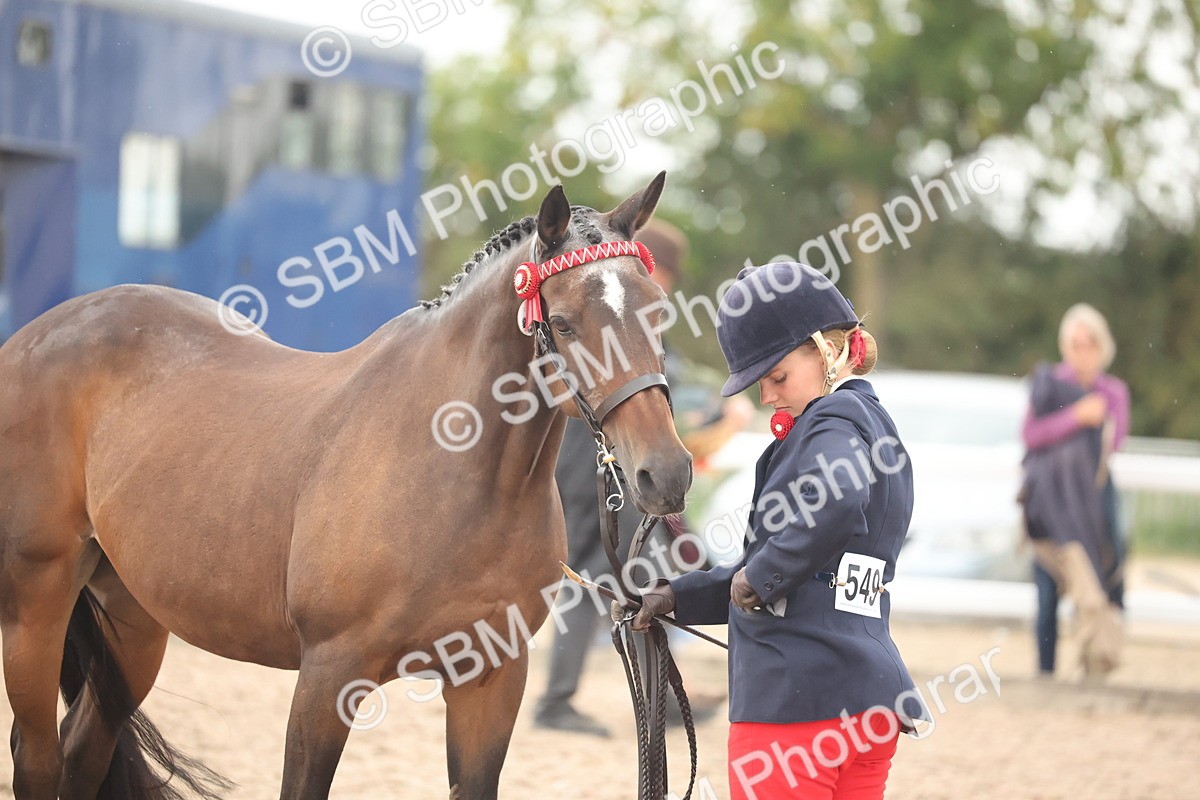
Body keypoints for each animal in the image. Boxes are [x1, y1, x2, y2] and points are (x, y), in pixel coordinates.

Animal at [0, 172, 692, 799]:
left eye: (659, 314)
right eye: (567, 323)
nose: (667, 472)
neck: (452, 475)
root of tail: (38, 335)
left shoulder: (492, 679)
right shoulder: (328, 677)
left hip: (134, 617)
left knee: (83, 749)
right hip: (35, 602)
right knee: (35, 756)